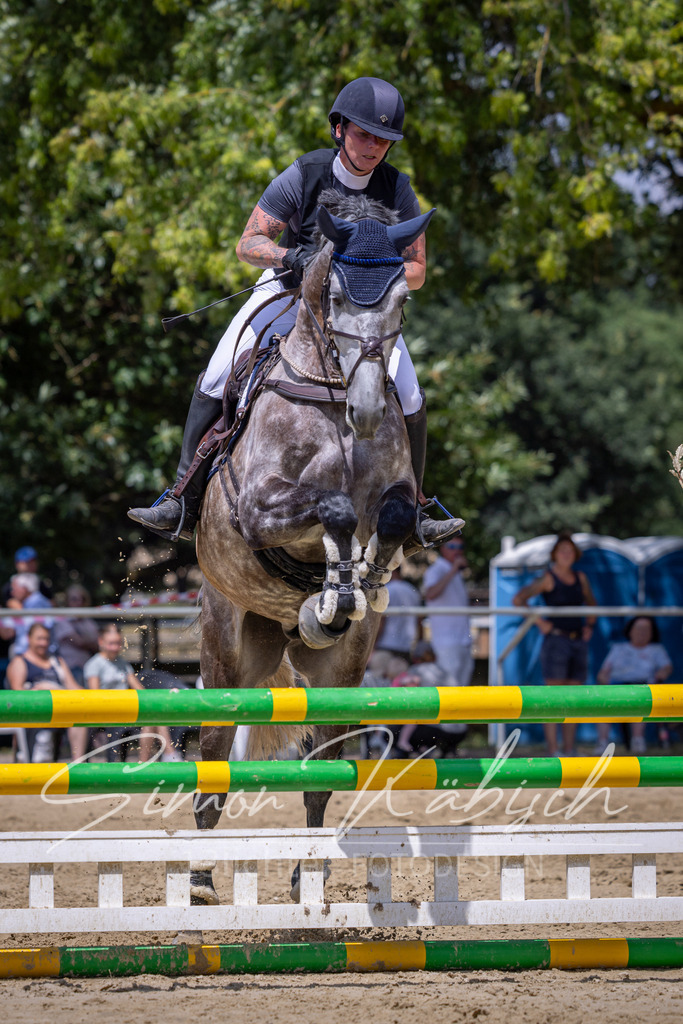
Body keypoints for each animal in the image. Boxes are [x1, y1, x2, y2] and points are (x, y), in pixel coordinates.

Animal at [191, 192, 434, 905]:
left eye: (400, 301)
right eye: (337, 297)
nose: (367, 412)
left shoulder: (396, 494)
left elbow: (391, 517)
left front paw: (356, 583)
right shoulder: (257, 508)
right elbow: (332, 509)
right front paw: (336, 585)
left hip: (338, 675)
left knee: (322, 769)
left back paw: (309, 876)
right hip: (226, 650)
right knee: (213, 760)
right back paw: (200, 879)